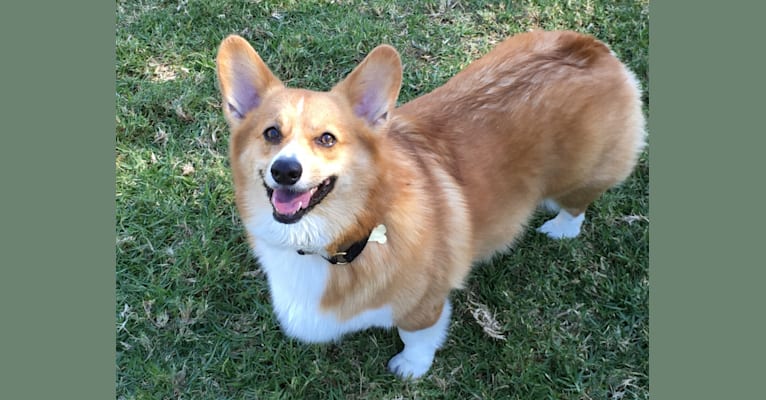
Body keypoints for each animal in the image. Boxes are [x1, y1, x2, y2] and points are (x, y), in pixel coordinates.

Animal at [216, 30, 648, 378]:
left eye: (327, 139)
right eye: (271, 133)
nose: (285, 170)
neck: (344, 238)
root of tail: (591, 48)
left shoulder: (423, 303)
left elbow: (417, 337)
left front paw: (410, 368)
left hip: (579, 175)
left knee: (578, 203)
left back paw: (559, 228)